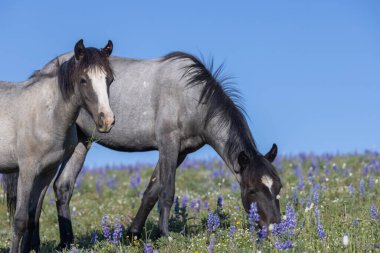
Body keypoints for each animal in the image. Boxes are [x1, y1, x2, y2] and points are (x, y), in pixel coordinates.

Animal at [0, 38, 115, 252]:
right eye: (83, 80)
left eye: (109, 79)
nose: (107, 121)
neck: (46, 115)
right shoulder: (27, 170)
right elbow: (20, 220)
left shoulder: (47, 171)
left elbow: (32, 217)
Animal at [4, 51, 282, 249]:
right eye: (252, 190)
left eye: (277, 188)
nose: (275, 229)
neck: (192, 96)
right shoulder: (169, 142)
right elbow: (167, 191)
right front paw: (165, 235)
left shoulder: (180, 151)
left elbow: (151, 191)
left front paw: (133, 234)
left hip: (83, 141)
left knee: (62, 187)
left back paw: (65, 243)